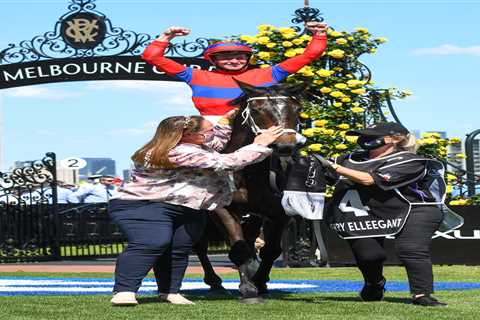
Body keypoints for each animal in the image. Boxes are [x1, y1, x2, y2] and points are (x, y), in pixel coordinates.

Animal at [194, 80, 310, 302]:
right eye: (256, 110)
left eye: (297, 108)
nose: (284, 145)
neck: (249, 172)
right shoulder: (222, 210)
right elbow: (238, 247)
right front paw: (248, 289)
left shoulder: (278, 213)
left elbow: (270, 250)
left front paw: (259, 281)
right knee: (200, 246)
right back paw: (215, 282)